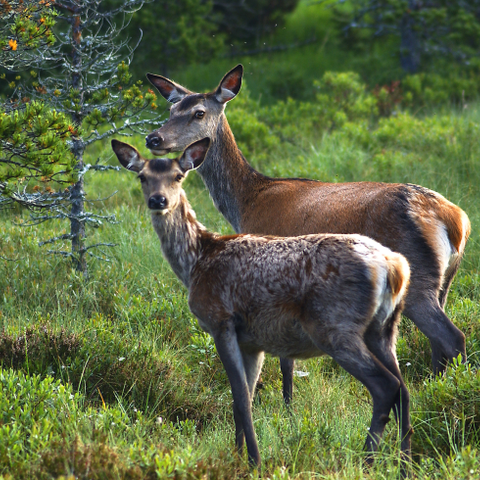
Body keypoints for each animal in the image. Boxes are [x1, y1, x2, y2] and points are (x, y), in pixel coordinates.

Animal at [111, 137, 412, 470]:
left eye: (178, 176)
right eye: (142, 177)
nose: (158, 200)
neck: (196, 263)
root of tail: (394, 266)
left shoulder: (221, 321)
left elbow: (241, 397)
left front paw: (253, 461)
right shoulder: (252, 342)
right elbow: (245, 397)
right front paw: (238, 455)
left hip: (335, 325)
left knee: (385, 386)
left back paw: (367, 459)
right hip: (384, 328)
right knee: (404, 388)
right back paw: (404, 462)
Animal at [144, 63, 470, 402]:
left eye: (198, 112)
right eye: (171, 109)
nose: (154, 138)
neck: (246, 203)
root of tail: (456, 220)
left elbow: (285, 361)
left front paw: (287, 406)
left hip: (418, 279)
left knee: (452, 337)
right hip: (444, 282)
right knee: (437, 343)